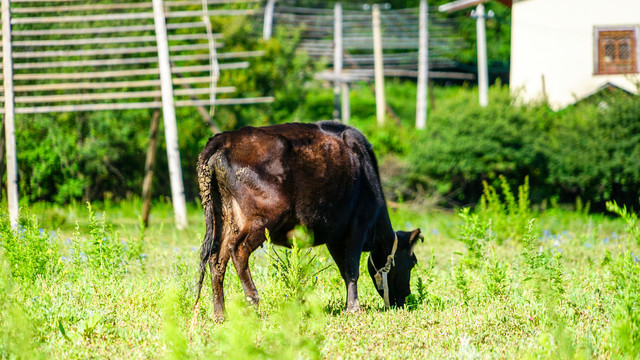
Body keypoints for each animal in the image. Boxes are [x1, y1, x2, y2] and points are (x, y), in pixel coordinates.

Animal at [195, 121, 424, 320]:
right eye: (413, 262)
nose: (405, 298)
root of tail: (224, 138)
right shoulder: (357, 226)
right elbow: (352, 269)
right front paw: (354, 308)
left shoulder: (334, 236)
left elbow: (344, 270)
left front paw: (348, 305)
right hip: (263, 217)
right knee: (238, 250)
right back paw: (254, 300)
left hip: (224, 216)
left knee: (216, 258)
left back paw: (220, 314)